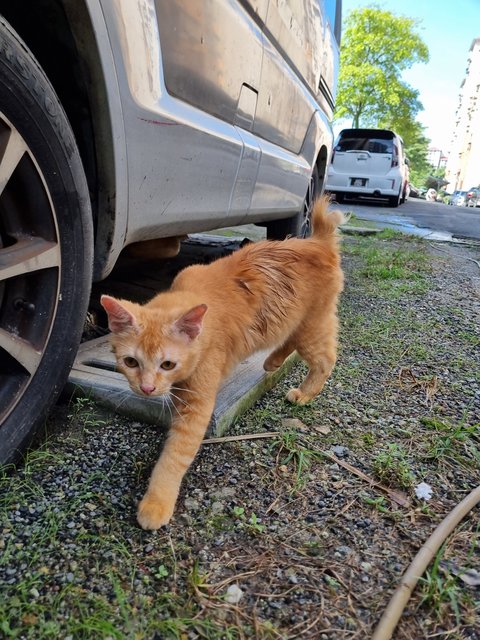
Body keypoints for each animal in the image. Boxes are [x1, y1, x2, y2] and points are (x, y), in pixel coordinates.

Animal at [101, 198, 344, 532]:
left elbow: (174, 455)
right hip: (296, 322)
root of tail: (317, 241)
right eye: (130, 362)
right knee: (289, 339)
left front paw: (156, 502)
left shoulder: (197, 405)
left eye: (167, 364)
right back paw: (272, 361)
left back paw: (304, 393)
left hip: (312, 325)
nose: (147, 388)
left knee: (325, 359)